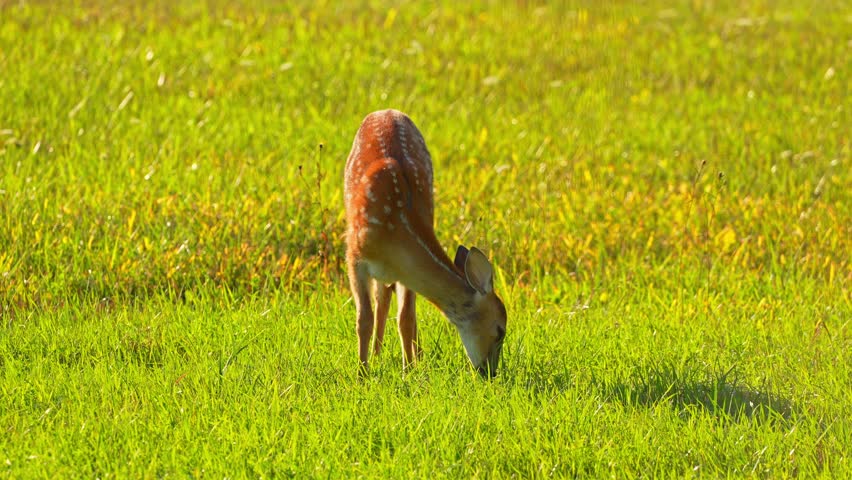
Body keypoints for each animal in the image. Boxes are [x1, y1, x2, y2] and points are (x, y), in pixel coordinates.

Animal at [344, 109, 507, 378]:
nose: (490, 372)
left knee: (389, 301)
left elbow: (406, 318)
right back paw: (376, 355)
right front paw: (362, 375)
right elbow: (363, 319)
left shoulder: (404, 272)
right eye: (500, 330)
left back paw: (412, 355)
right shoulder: (354, 257)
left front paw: (409, 370)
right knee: (380, 300)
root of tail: (386, 110)